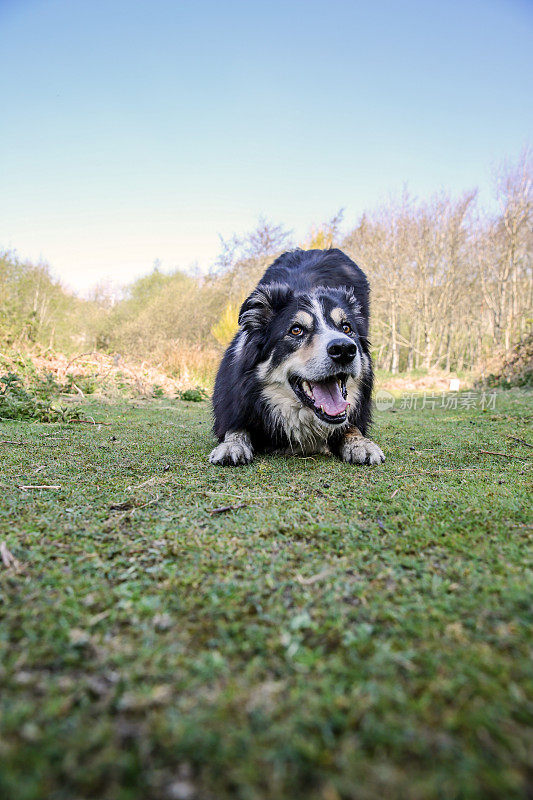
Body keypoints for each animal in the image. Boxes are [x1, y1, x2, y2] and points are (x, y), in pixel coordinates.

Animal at [210, 247, 384, 466]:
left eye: (346, 328)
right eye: (296, 330)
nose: (344, 349)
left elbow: (351, 425)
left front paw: (360, 443)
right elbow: (236, 428)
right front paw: (232, 445)